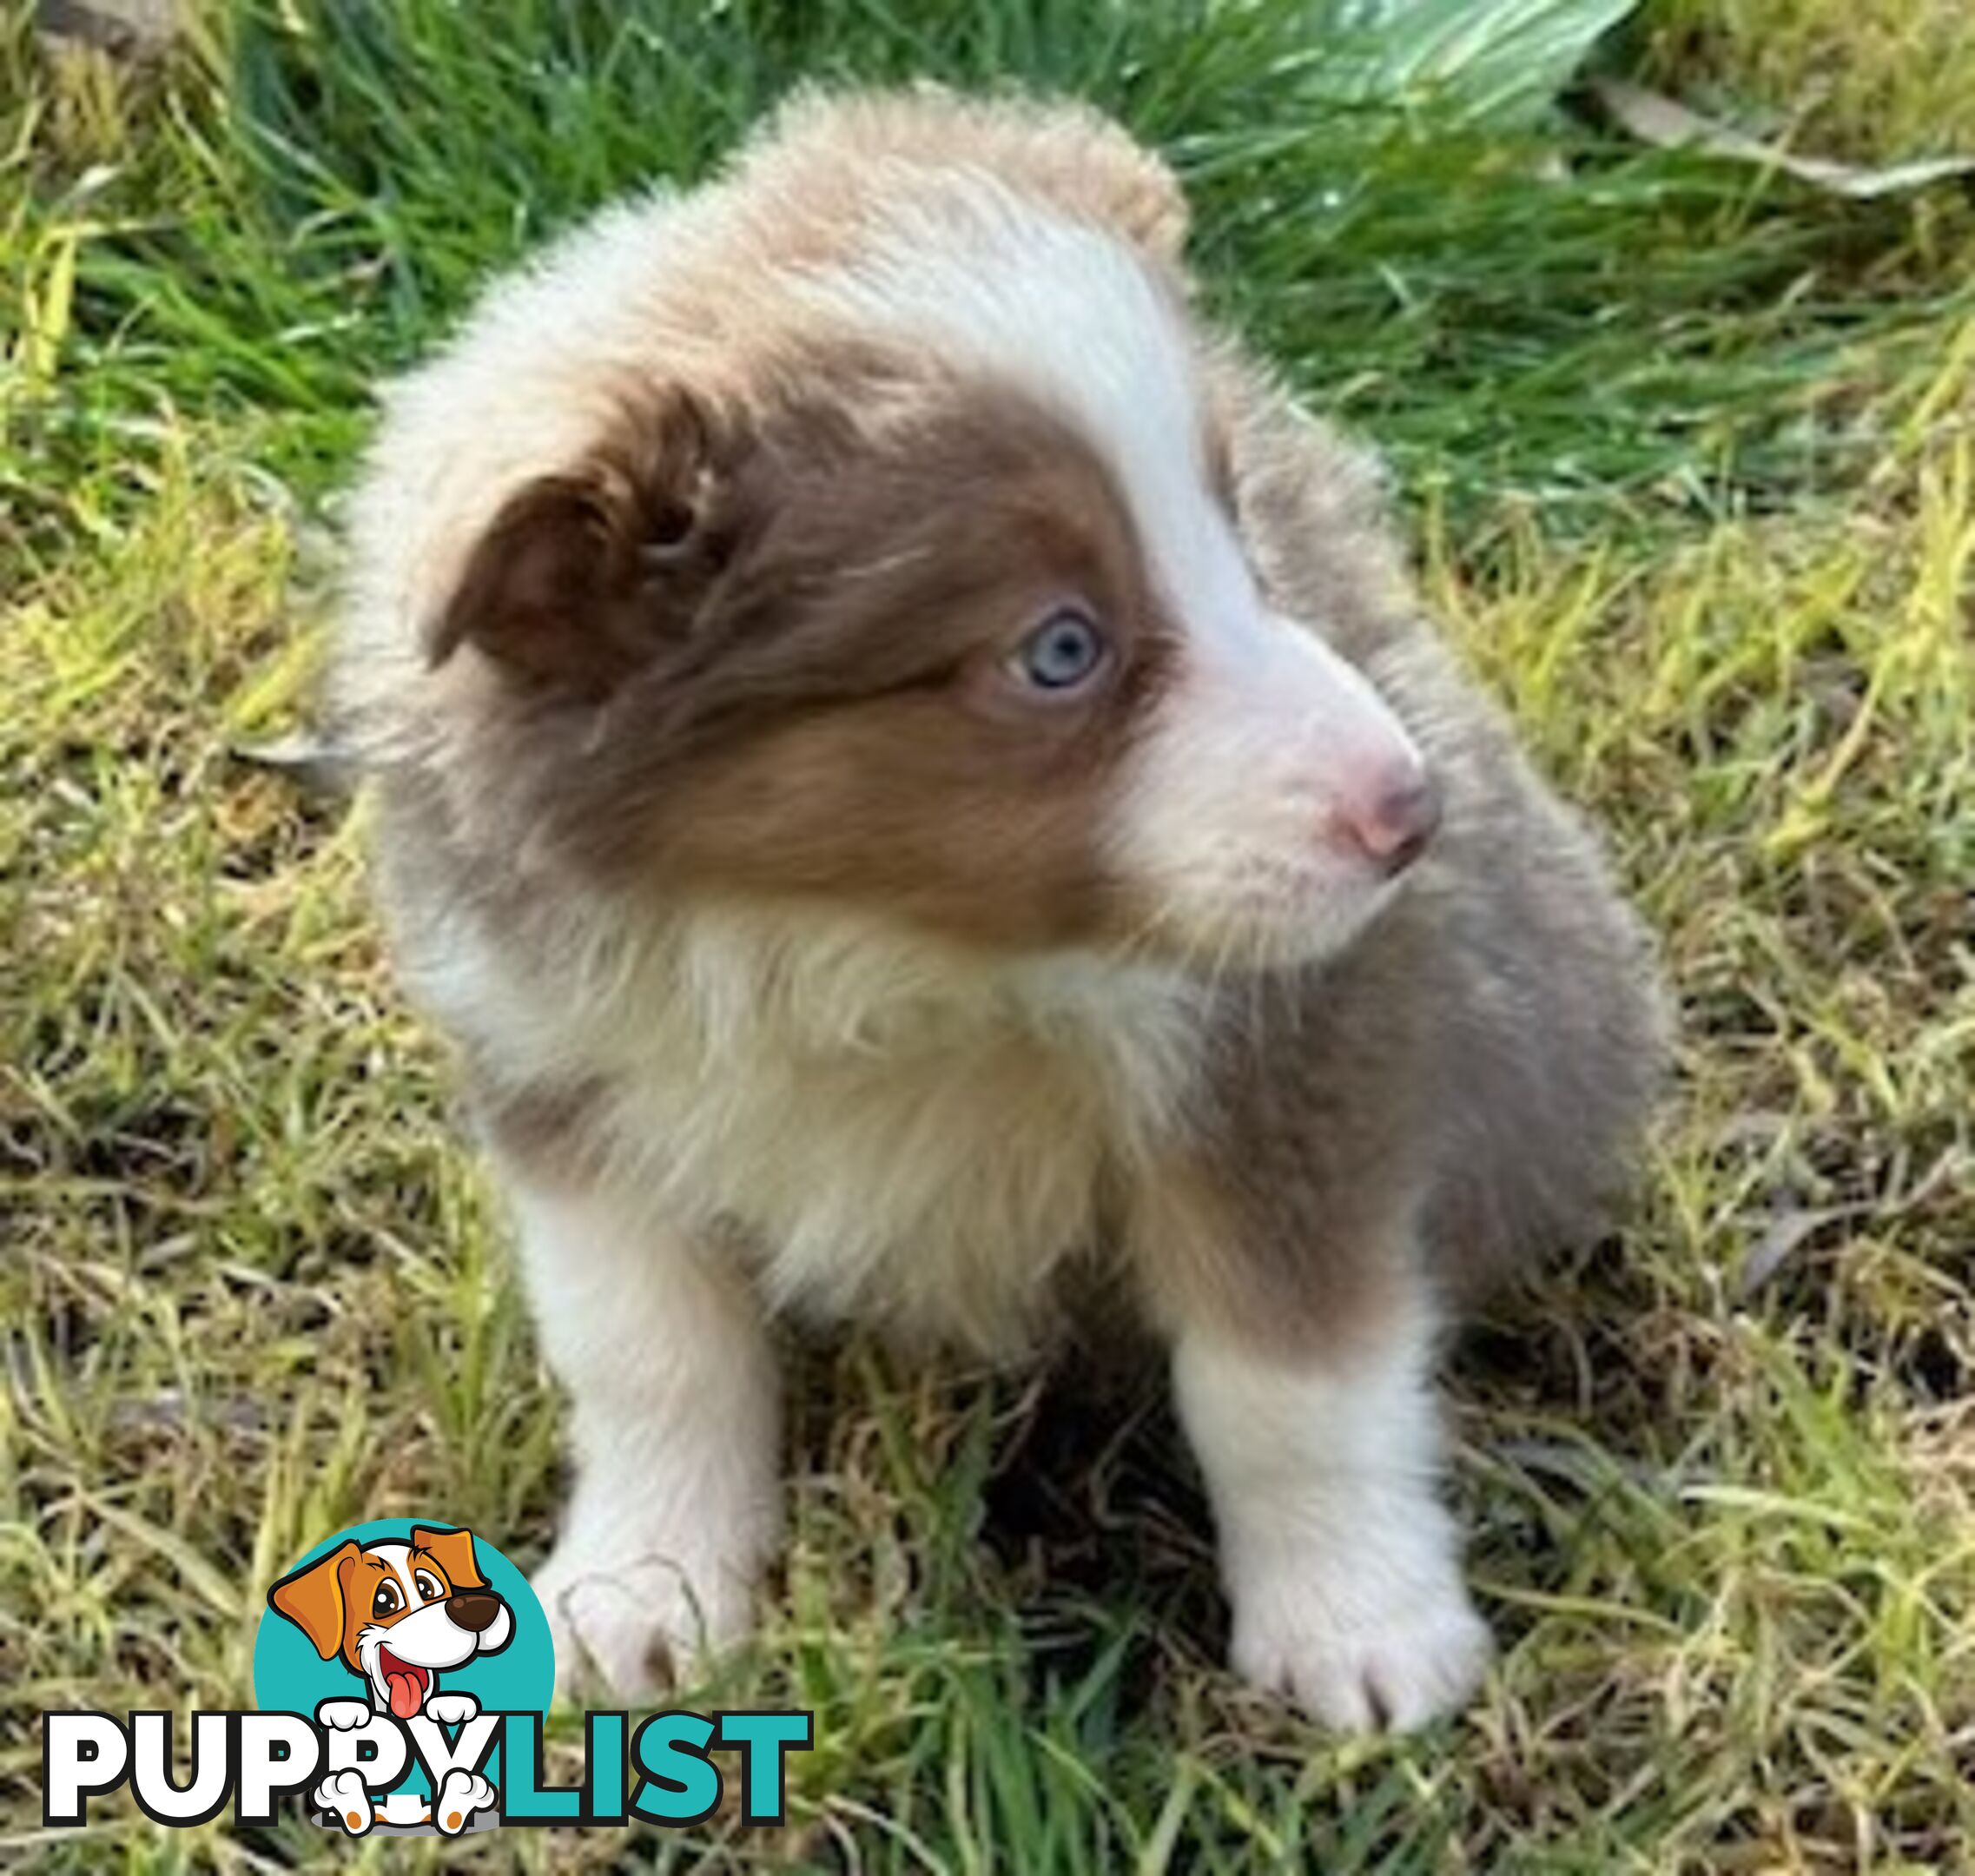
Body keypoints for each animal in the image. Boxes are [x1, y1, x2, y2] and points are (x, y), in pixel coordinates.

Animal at [335, 84, 1667, 1729]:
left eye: (1235, 532)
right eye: (1058, 651)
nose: (1409, 814)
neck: (871, 946)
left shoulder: (1286, 1056)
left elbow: (1292, 1375)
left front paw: (1358, 1631)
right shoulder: (558, 1060)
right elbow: (647, 1346)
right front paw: (643, 1591)